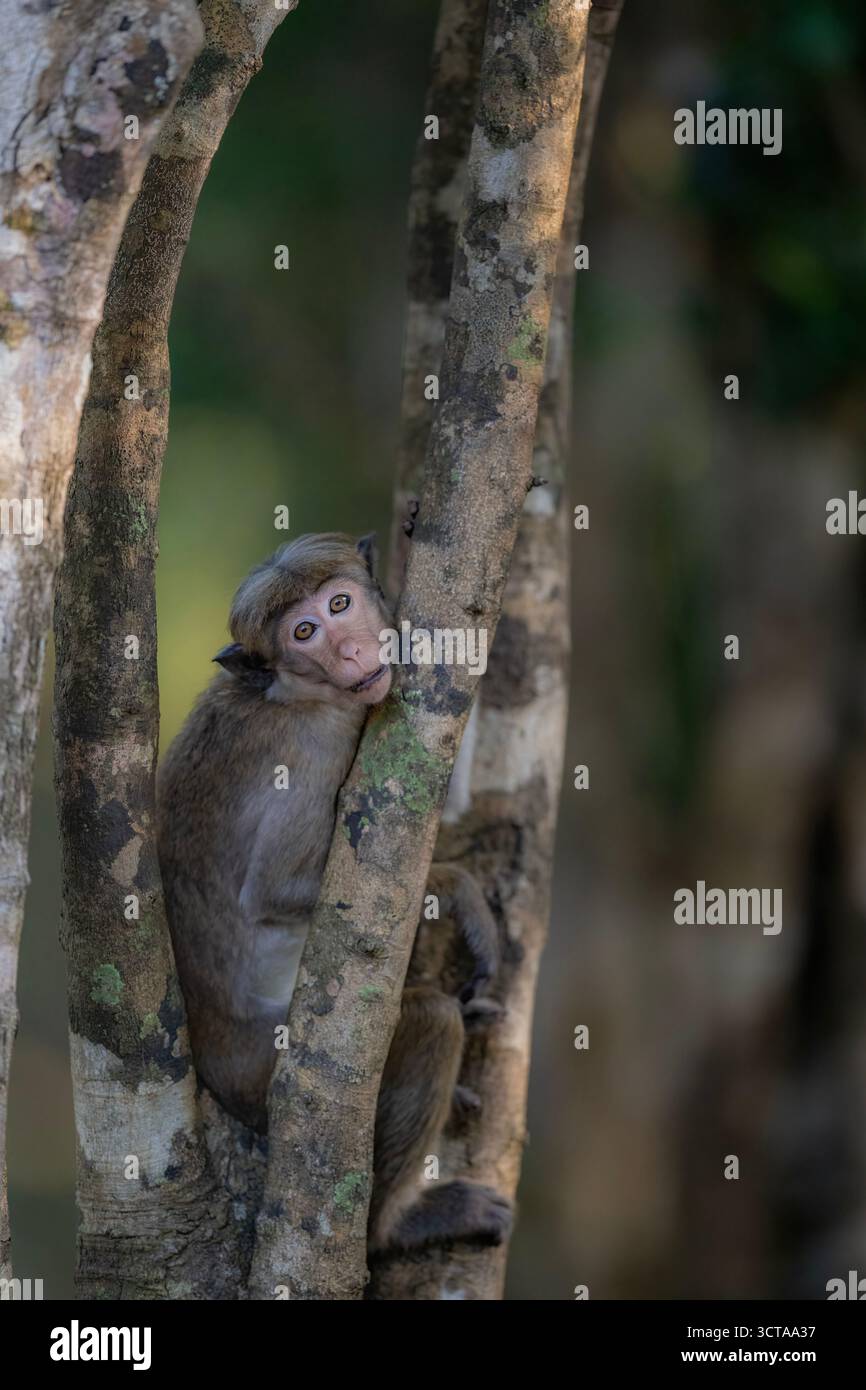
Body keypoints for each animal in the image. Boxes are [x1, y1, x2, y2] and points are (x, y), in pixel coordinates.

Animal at [156, 533, 511, 1255]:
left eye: (339, 604)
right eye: (304, 632)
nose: (350, 651)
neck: (288, 692)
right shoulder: (318, 752)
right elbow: (278, 890)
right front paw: (459, 890)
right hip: (272, 1081)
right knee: (431, 1017)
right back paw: (397, 1223)